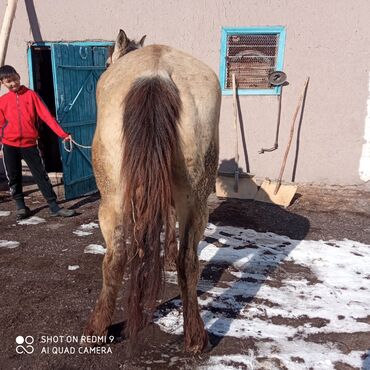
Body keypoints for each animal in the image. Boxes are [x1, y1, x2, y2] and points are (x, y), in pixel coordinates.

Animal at [84, 29, 221, 352]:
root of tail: (156, 73)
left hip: (110, 199)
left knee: (115, 257)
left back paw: (97, 328)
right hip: (196, 200)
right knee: (189, 261)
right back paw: (195, 337)